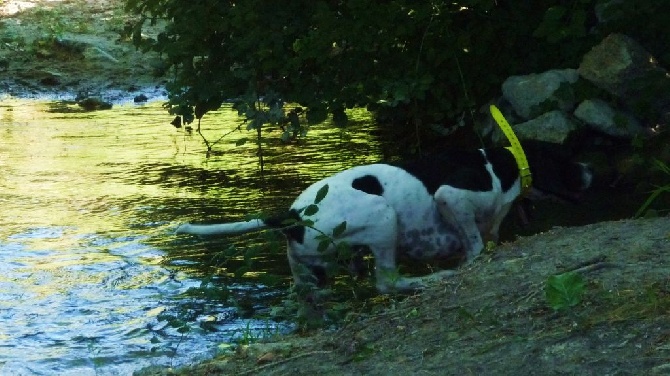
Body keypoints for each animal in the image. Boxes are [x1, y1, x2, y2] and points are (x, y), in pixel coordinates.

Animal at [177, 141, 592, 294]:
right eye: (569, 157)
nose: (592, 170)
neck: (501, 164)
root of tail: (293, 215)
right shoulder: (451, 196)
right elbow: (474, 243)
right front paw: (469, 261)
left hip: (312, 276)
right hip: (383, 217)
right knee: (388, 282)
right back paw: (430, 279)